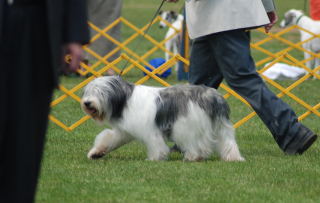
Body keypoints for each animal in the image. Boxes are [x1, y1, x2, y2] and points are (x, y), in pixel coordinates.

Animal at [81, 76, 244, 162]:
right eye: (88, 92)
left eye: (101, 93)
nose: (87, 103)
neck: (125, 99)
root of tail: (213, 95)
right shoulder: (123, 132)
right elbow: (109, 139)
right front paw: (96, 153)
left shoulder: (150, 130)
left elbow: (156, 144)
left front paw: (155, 158)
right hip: (221, 126)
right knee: (227, 142)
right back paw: (233, 157)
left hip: (185, 125)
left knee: (199, 145)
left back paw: (193, 156)